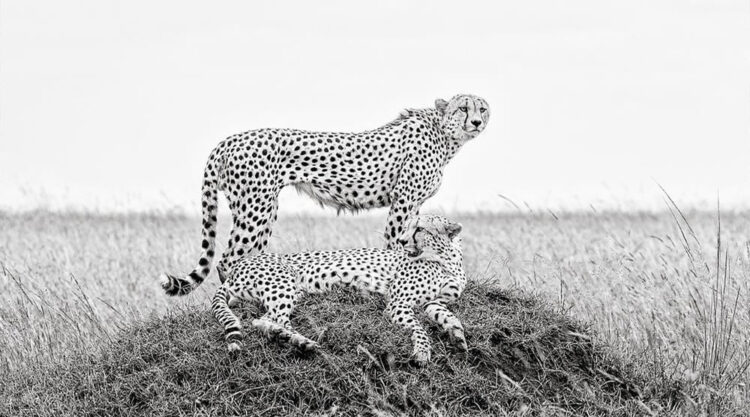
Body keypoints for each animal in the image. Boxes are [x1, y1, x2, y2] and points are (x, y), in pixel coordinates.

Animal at [163, 94, 494, 290]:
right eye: (463, 108)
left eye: (482, 108)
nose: (477, 122)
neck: (444, 134)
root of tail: (229, 139)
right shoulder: (404, 201)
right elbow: (396, 241)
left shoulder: (412, 204)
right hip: (255, 207)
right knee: (228, 259)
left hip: (264, 209)